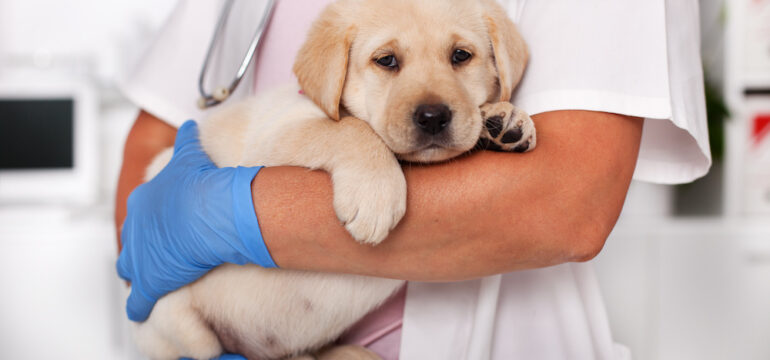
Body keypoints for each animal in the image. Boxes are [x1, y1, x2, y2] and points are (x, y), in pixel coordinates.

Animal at [134, 0, 536, 360]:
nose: (433, 117)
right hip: (176, 322)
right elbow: (350, 129)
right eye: (387, 60)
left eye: (461, 56)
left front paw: (505, 118)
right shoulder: (266, 144)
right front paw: (375, 197)